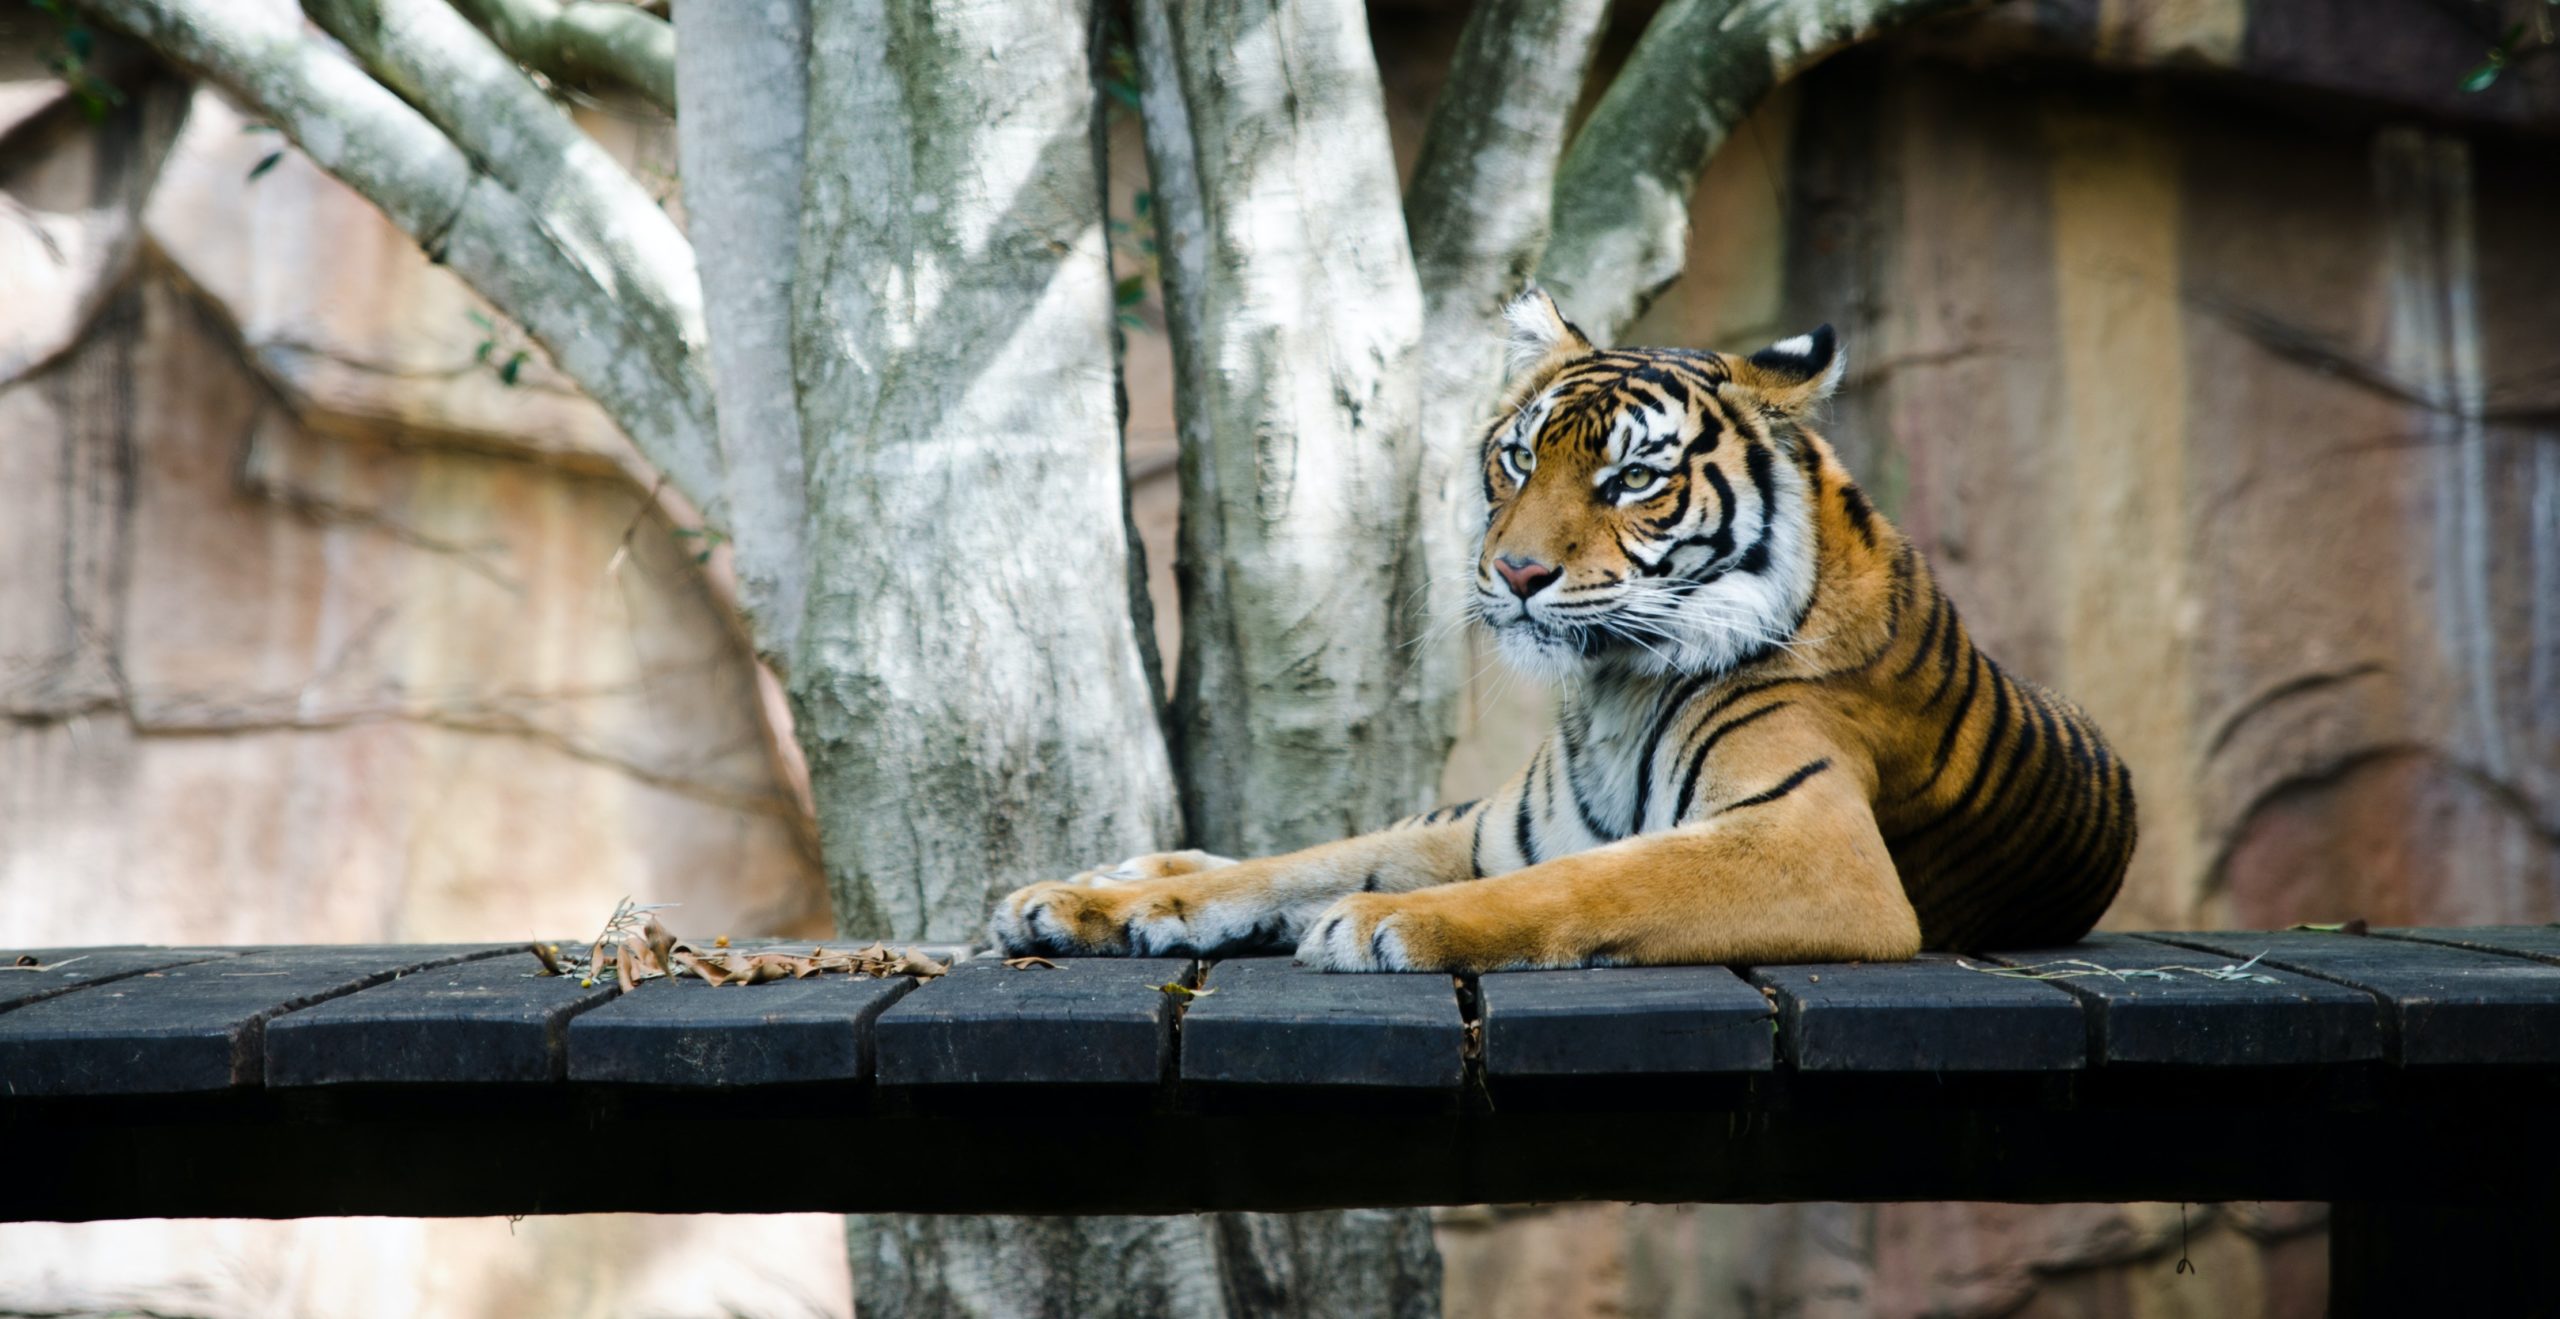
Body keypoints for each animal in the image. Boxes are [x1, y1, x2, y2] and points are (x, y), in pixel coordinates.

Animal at [988, 291, 2129, 968]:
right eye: (1519, 459)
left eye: (1631, 479)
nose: (1517, 572)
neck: (1615, 688)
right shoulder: (1489, 829)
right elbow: (1295, 863)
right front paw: (1091, 905)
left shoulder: (1815, 844)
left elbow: (1586, 878)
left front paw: (1382, 922)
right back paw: (1118, 878)